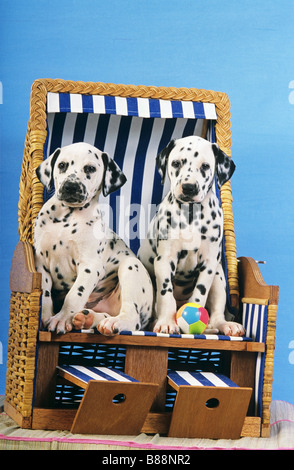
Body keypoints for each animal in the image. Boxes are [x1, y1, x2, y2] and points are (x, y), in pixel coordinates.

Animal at [34, 141, 154, 336]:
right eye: (62, 165)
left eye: (90, 168)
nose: (70, 186)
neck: (66, 218)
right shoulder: (41, 264)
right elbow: (44, 294)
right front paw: (44, 316)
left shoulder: (90, 266)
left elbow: (75, 294)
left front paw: (61, 319)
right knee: (102, 314)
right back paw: (87, 318)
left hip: (131, 268)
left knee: (131, 317)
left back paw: (114, 323)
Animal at [139, 134, 245, 336]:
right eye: (176, 163)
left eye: (205, 166)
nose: (189, 187)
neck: (191, 216)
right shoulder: (165, 260)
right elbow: (166, 295)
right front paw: (166, 322)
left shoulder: (209, 264)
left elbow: (199, 296)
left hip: (219, 277)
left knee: (217, 313)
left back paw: (226, 325)